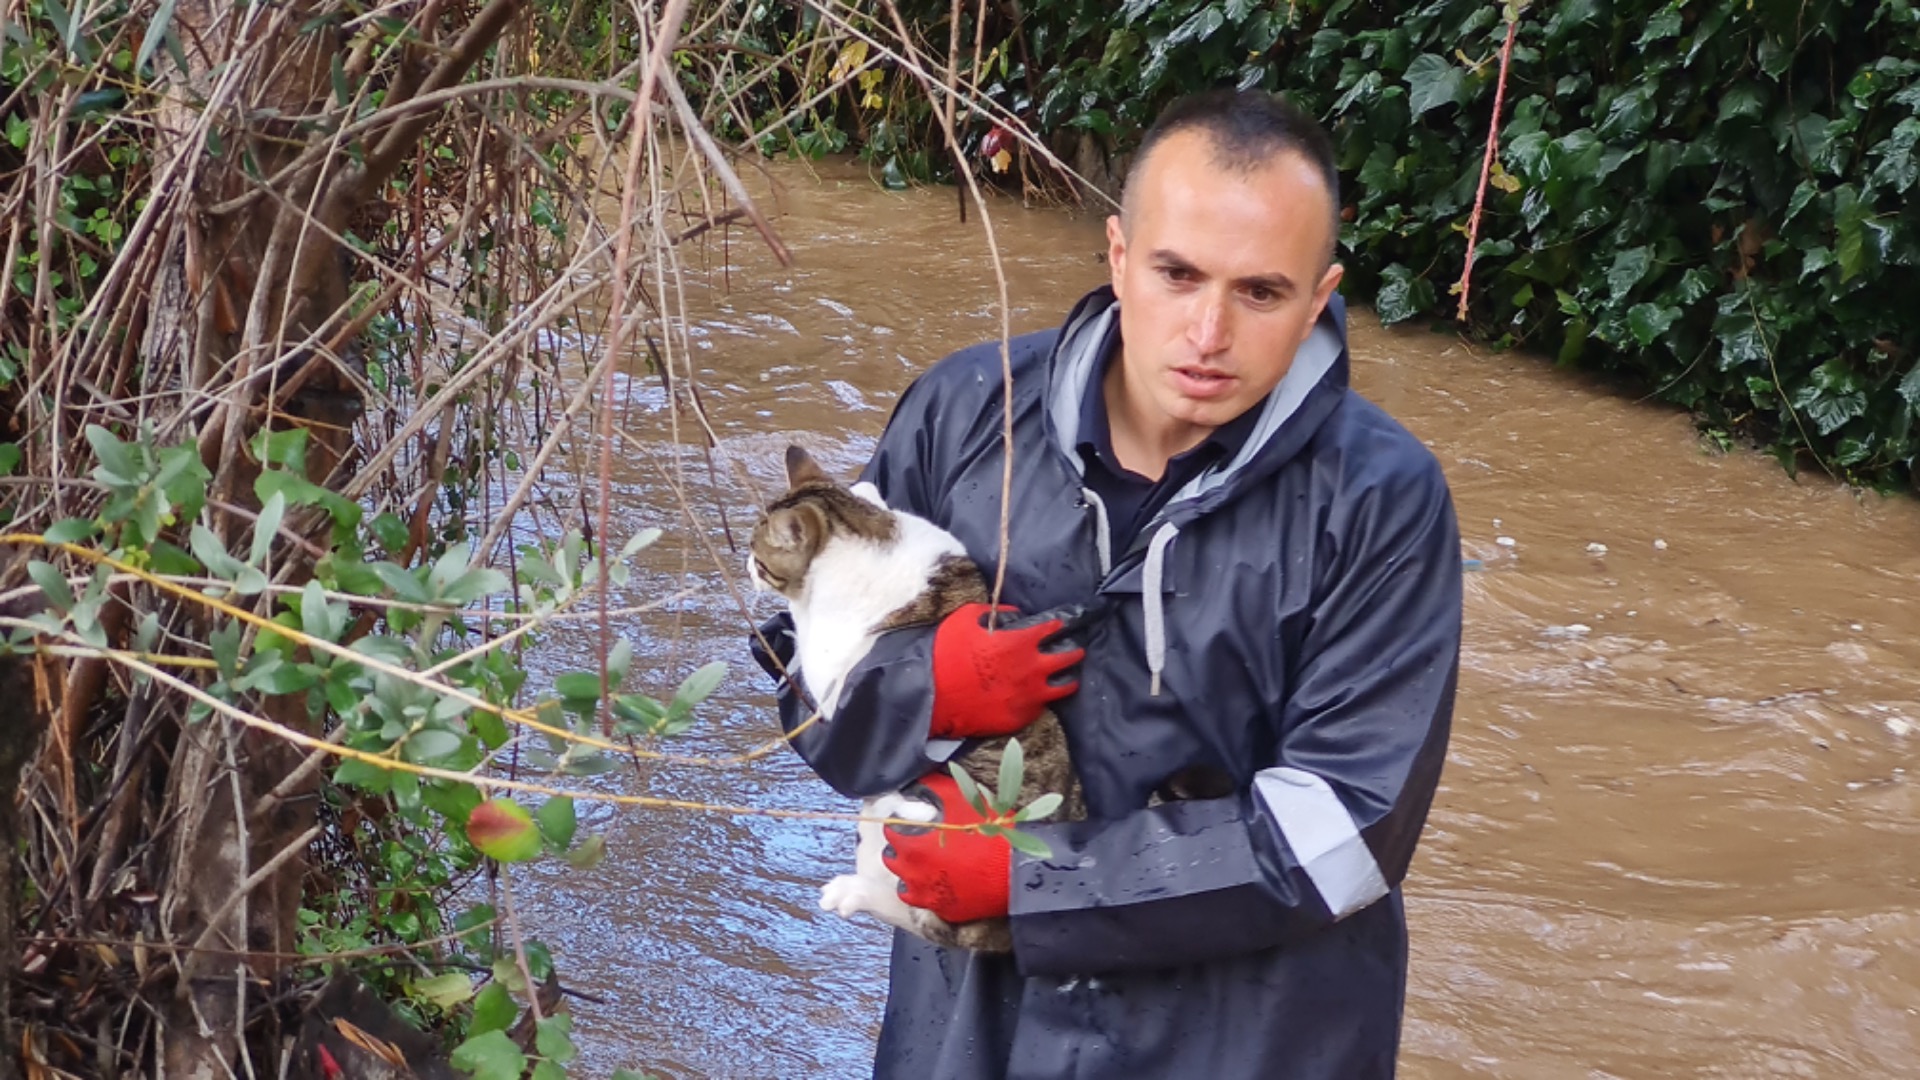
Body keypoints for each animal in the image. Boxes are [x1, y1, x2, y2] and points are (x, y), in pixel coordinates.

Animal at [744, 443, 1082, 949]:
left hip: (907, 820)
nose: (746, 564)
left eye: (759, 556)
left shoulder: (829, 672)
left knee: (935, 922)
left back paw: (857, 887)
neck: (866, 529)